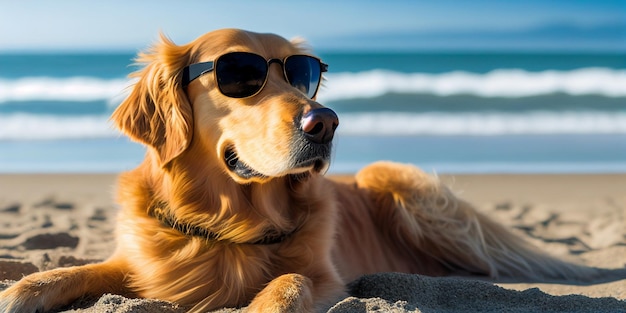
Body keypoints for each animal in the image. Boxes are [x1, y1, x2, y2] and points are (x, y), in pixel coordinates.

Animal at [0, 28, 608, 310]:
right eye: (239, 75)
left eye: (304, 76)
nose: (327, 121)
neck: (229, 223)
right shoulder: (138, 263)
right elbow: (65, 272)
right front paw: (17, 290)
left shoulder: (325, 275)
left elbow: (287, 282)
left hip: (397, 181)